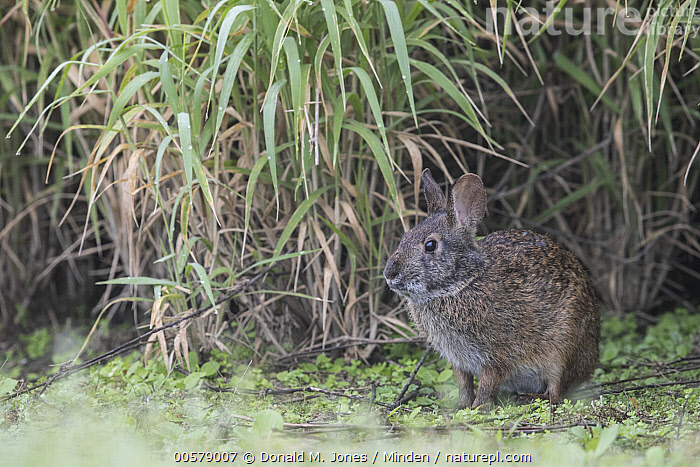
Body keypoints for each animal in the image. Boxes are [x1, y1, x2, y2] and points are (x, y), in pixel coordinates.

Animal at [383, 169, 600, 409]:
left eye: (430, 245)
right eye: (404, 237)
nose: (389, 273)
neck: (461, 284)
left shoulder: (497, 354)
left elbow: (488, 382)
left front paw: (479, 407)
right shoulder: (459, 360)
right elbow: (464, 383)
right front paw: (461, 406)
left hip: (563, 348)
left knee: (557, 391)